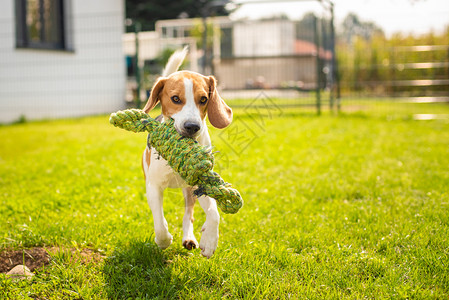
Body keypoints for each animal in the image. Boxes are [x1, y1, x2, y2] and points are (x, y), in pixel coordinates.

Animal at [140, 47, 233, 258]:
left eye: (204, 99)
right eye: (175, 99)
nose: (192, 126)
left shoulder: (202, 184)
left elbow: (214, 213)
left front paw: (210, 241)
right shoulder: (153, 186)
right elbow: (159, 223)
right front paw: (164, 240)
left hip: (189, 191)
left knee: (188, 215)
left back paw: (189, 238)